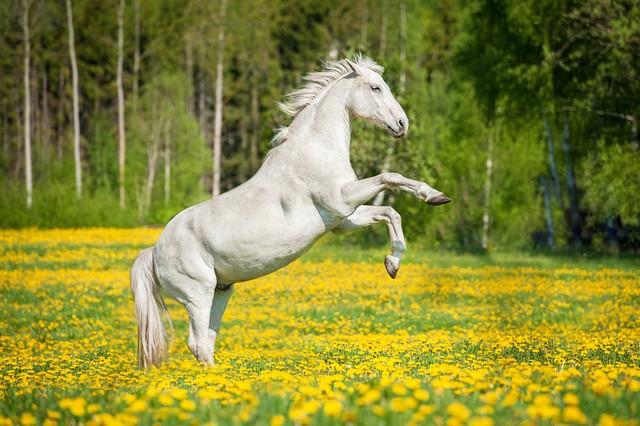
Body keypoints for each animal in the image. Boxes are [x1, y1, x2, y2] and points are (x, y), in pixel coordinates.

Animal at [130, 57, 450, 370]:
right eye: (375, 88)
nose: (402, 124)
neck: (314, 150)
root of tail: (155, 252)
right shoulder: (341, 201)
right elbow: (390, 176)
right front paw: (433, 196)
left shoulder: (343, 220)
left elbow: (390, 212)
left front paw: (394, 261)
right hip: (198, 293)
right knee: (197, 343)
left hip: (221, 290)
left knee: (206, 343)